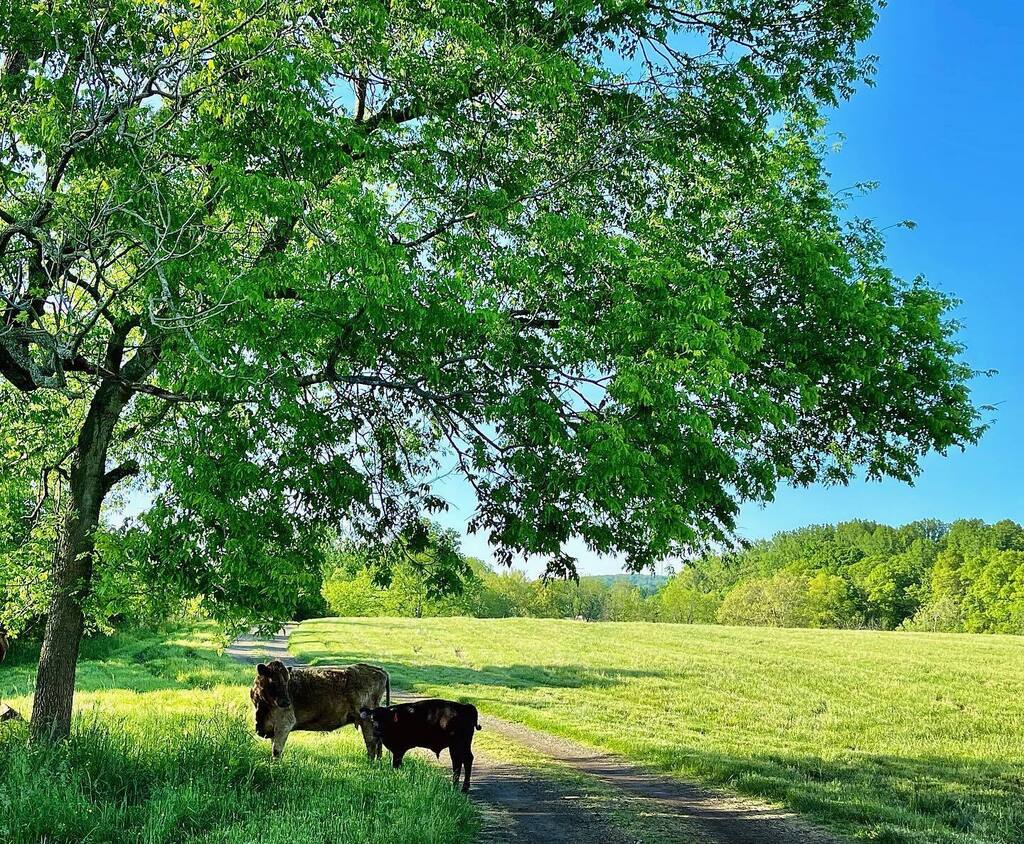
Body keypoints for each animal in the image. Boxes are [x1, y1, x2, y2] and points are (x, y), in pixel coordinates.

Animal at [250, 660, 390, 760]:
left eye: (287, 681)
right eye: (273, 681)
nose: (286, 702)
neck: (262, 706)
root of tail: (378, 669)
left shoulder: (284, 725)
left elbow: (276, 751)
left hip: (366, 720)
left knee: (371, 742)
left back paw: (371, 763)